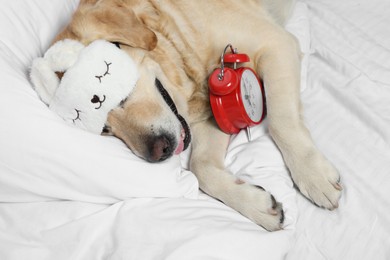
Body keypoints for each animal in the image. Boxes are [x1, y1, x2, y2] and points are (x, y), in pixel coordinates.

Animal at [52, 0, 342, 232]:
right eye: (105, 130)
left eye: (119, 94)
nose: (158, 152)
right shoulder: (213, 113)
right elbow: (201, 168)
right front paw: (253, 203)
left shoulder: (276, 44)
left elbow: (281, 122)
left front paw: (313, 175)